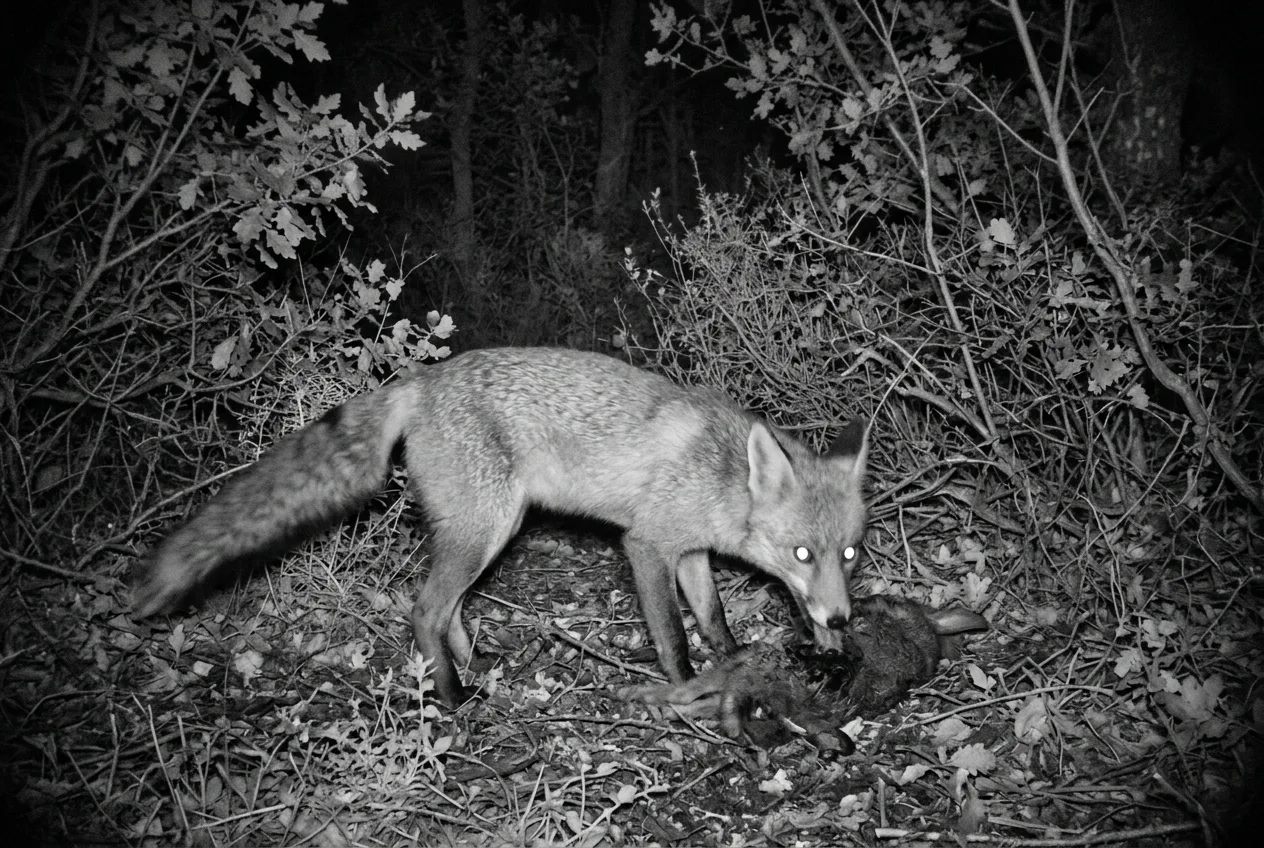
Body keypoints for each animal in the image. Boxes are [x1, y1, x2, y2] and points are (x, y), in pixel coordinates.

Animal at [132, 346, 869, 708]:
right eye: (801, 554)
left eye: (849, 554)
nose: (838, 621)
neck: (718, 474)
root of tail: (421, 380)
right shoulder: (646, 545)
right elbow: (671, 636)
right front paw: (685, 688)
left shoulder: (688, 552)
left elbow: (712, 619)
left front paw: (731, 658)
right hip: (483, 529)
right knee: (424, 608)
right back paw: (452, 698)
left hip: (493, 527)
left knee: (450, 609)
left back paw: (475, 667)